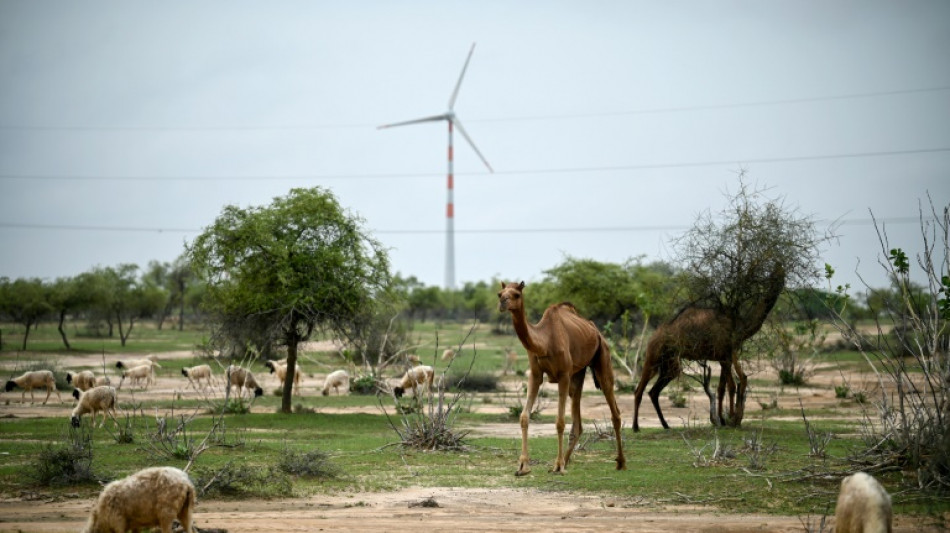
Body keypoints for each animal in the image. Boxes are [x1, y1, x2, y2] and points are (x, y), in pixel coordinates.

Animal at [498, 280, 624, 476]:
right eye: (500, 293)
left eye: (516, 294)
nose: (503, 302)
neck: (545, 342)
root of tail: (596, 331)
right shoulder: (535, 374)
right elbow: (524, 416)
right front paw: (523, 466)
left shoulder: (563, 374)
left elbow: (559, 422)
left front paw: (558, 466)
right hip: (578, 373)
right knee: (578, 419)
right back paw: (567, 460)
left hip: (602, 357)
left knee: (614, 409)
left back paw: (620, 462)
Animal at [632, 264, 788, 430]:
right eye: (776, 273)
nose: (781, 275)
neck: (740, 326)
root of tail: (653, 337)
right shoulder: (725, 356)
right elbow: (729, 387)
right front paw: (729, 418)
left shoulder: (724, 357)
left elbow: (723, 388)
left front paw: (723, 419)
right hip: (653, 357)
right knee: (639, 390)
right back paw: (636, 426)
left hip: (669, 364)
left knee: (653, 392)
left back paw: (665, 425)